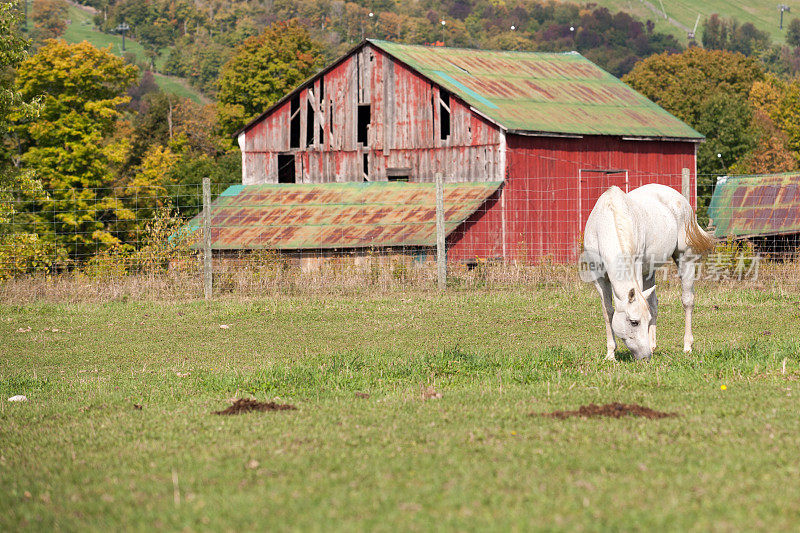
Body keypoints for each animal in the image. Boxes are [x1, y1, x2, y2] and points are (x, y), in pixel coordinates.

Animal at [580, 184, 716, 362]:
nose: (645, 357)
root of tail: (681, 199)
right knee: (653, 303)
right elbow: (608, 311)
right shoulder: (598, 277)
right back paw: (653, 345)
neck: (607, 222)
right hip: (649, 271)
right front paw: (610, 354)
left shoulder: (635, 268)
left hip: (685, 258)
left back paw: (687, 346)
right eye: (634, 322)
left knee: (687, 301)